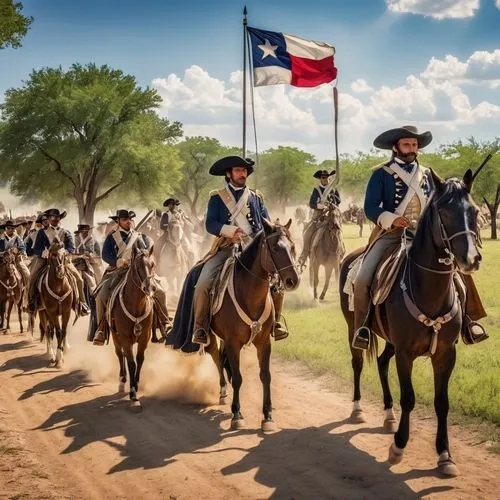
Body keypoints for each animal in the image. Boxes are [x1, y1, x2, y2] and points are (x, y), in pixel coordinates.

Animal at [109, 244, 154, 408]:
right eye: (138, 267)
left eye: (152, 265)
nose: (150, 287)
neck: (136, 305)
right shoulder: (125, 338)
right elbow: (131, 362)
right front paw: (133, 393)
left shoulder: (145, 337)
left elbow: (140, 360)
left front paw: (137, 384)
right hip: (115, 337)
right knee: (119, 354)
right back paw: (122, 381)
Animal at [205, 221, 298, 432]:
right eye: (275, 248)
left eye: (292, 246)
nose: (293, 280)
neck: (251, 295)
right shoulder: (233, 343)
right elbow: (238, 377)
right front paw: (236, 414)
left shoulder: (263, 343)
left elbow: (265, 375)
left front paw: (268, 416)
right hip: (210, 333)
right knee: (215, 355)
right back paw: (223, 389)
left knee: (221, 357)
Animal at [340, 169, 484, 476]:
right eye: (444, 211)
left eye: (475, 211)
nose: (471, 259)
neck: (429, 289)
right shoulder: (405, 354)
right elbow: (409, 397)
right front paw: (398, 447)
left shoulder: (445, 354)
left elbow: (442, 402)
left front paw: (444, 455)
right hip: (354, 328)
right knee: (358, 362)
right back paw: (357, 409)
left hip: (390, 341)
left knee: (382, 362)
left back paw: (388, 414)